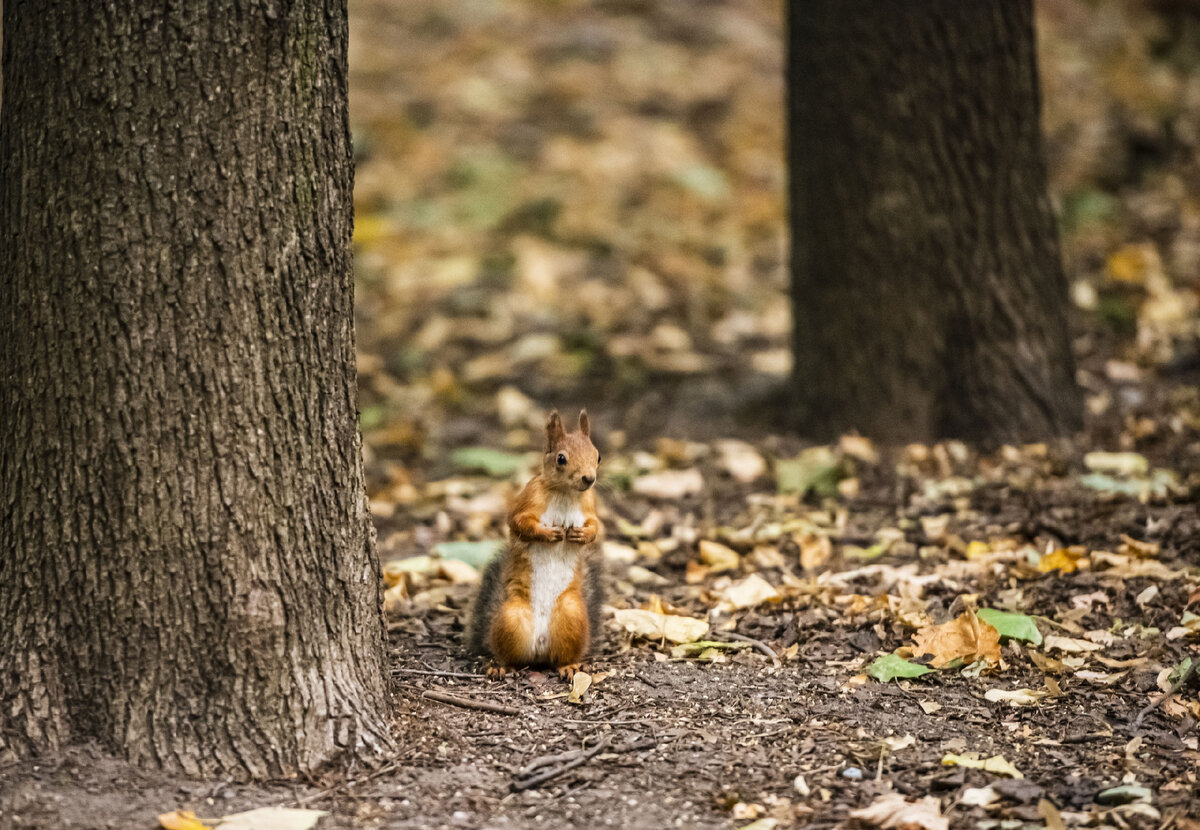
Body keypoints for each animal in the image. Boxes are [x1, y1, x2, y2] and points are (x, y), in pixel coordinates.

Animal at [465, 407, 604, 681]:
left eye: (598, 456)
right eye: (561, 459)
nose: (589, 479)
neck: (565, 494)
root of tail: (539, 648)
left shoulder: (589, 505)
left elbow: (596, 527)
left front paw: (581, 535)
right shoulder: (528, 498)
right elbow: (518, 522)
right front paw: (547, 534)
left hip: (572, 614)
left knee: (562, 656)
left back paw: (570, 666)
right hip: (511, 618)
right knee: (509, 655)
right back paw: (501, 666)